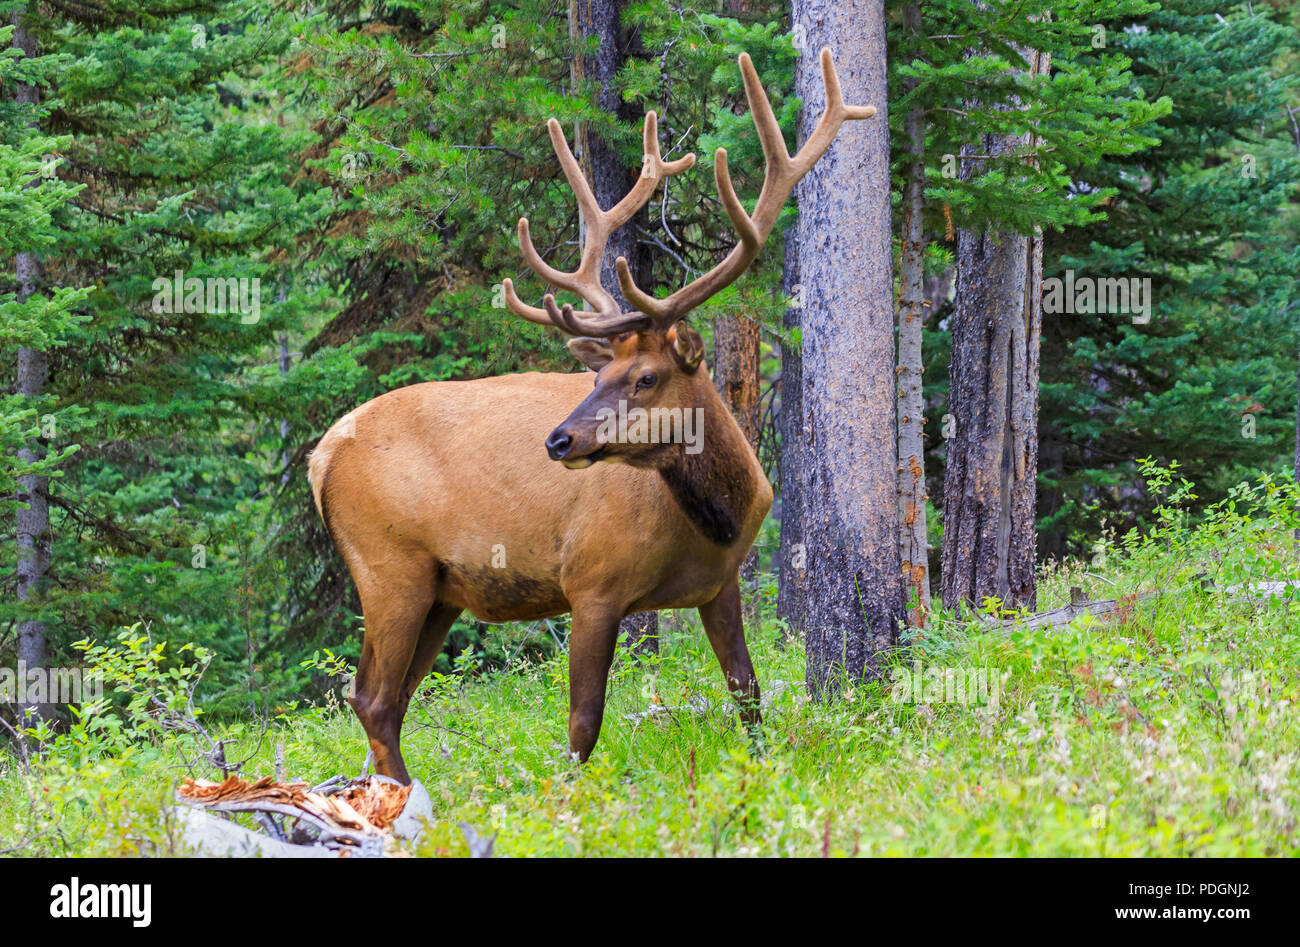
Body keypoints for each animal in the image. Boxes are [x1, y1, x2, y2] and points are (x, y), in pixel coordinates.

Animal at [308, 49, 875, 784]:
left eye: (644, 377)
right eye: (598, 375)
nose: (558, 439)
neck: (717, 514)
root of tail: (319, 456)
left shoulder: (720, 584)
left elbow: (747, 695)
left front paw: (762, 769)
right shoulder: (592, 583)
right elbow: (583, 723)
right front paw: (573, 796)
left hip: (439, 589)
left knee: (390, 699)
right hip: (389, 567)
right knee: (372, 698)